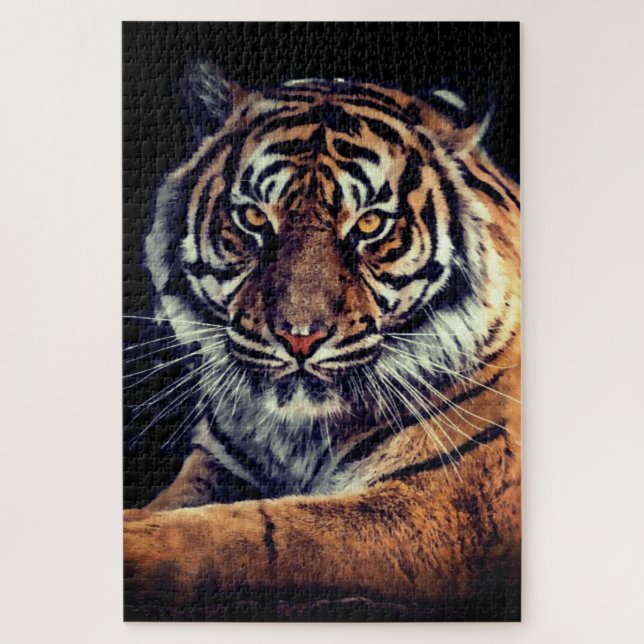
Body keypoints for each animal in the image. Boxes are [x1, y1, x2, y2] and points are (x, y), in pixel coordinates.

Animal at [124, 59, 521, 619]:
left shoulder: (443, 504)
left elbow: (258, 533)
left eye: (371, 224)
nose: (299, 337)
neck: (298, 435)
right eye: (253, 218)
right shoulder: (217, 464)